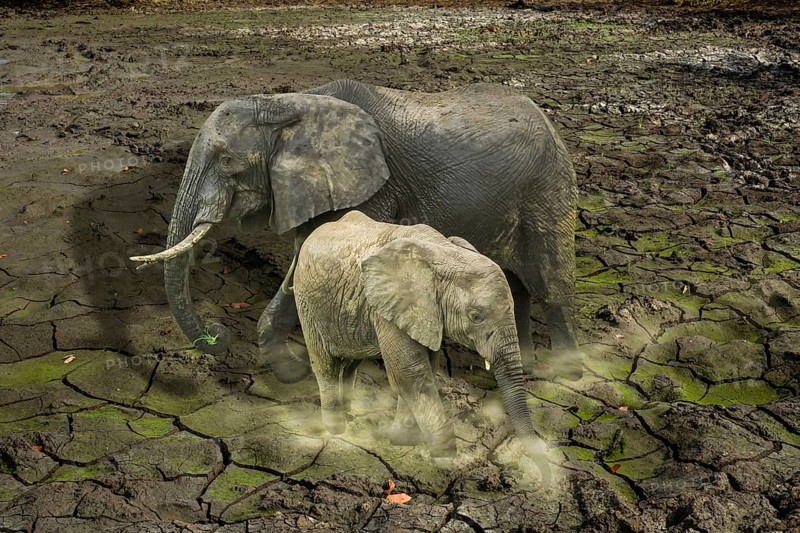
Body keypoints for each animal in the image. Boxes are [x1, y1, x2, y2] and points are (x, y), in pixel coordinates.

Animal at [129, 79, 580, 382]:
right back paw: (524, 366)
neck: (288, 103)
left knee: (550, 285)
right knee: (515, 284)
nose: (216, 335)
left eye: (226, 162)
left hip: (548, 188)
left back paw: (563, 375)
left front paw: (293, 372)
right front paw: (294, 369)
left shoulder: (373, 187)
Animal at [293, 210, 550, 485]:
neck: (445, 255)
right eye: (476, 316)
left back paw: (349, 417)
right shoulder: (391, 307)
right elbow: (411, 374)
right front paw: (444, 456)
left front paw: (402, 441)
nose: (541, 484)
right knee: (326, 366)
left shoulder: (425, 313)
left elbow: (424, 369)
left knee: (351, 362)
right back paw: (336, 431)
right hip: (307, 304)